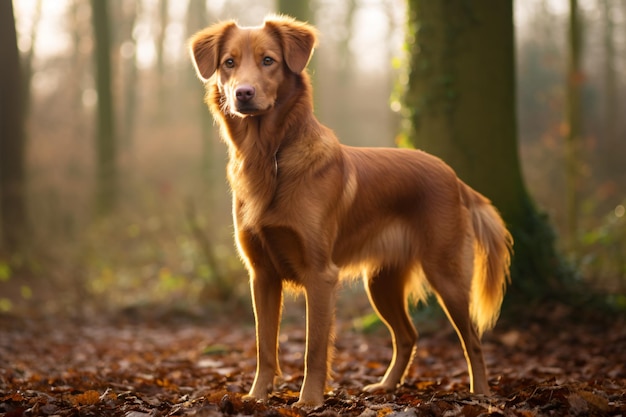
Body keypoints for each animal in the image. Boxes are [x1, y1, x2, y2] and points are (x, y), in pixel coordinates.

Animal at [189, 14, 512, 404]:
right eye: (229, 63)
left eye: (268, 61)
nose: (243, 94)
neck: (269, 156)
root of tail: (453, 176)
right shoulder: (262, 275)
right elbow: (264, 345)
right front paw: (256, 397)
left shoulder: (320, 274)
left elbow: (314, 348)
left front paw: (309, 401)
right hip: (381, 283)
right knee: (408, 335)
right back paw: (386, 386)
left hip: (445, 273)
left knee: (473, 339)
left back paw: (480, 394)